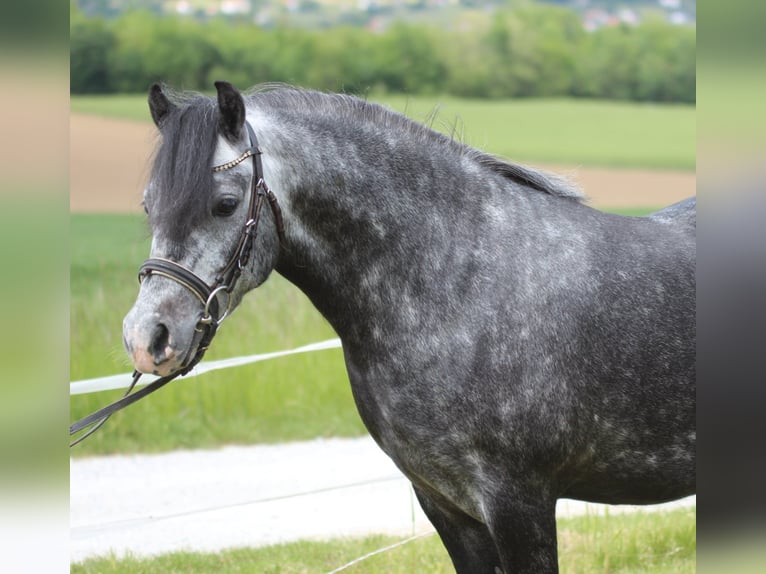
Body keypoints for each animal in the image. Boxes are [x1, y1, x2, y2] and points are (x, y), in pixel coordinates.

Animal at [122, 81, 696, 573]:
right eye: (149, 205)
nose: (147, 338)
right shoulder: (446, 504)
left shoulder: (519, 504)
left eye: (224, 204)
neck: (459, 279)